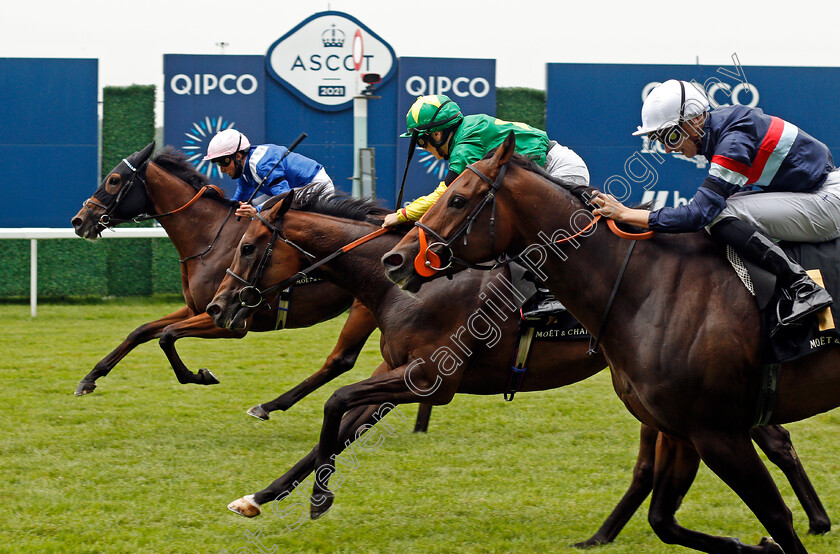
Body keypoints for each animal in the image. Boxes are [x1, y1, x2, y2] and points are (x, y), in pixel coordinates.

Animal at [69, 143, 384, 422]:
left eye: (114, 180)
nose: (78, 220)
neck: (210, 238)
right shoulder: (198, 309)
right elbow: (141, 331)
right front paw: (89, 378)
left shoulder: (232, 323)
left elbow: (167, 335)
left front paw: (201, 376)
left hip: (365, 308)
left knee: (339, 359)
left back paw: (268, 406)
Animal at [207, 189, 832, 544]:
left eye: (247, 246)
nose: (216, 306)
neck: (404, 287)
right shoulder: (397, 380)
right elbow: (333, 433)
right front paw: (257, 499)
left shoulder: (427, 379)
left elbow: (335, 408)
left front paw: (316, 499)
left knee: (766, 439)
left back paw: (812, 520)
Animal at [384, 132, 840, 548]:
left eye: (458, 199)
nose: (396, 259)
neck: (649, 284)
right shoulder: (682, 431)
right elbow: (664, 520)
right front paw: (752, 545)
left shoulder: (719, 432)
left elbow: (776, 516)